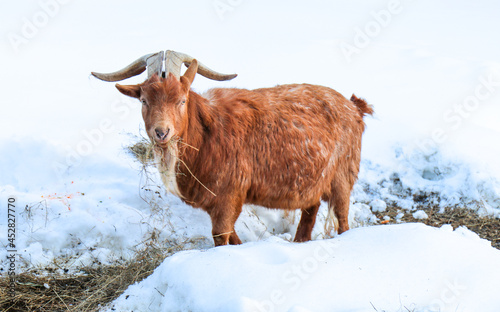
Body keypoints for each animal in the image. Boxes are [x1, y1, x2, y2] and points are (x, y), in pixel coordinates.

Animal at [112, 58, 372, 246]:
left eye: (182, 100)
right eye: (144, 101)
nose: (161, 132)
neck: (206, 134)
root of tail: (354, 106)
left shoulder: (229, 192)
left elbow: (220, 235)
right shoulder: (217, 199)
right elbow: (230, 234)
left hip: (342, 173)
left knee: (342, 216)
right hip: (314, 179)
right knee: (311, 207)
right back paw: (300, 241)